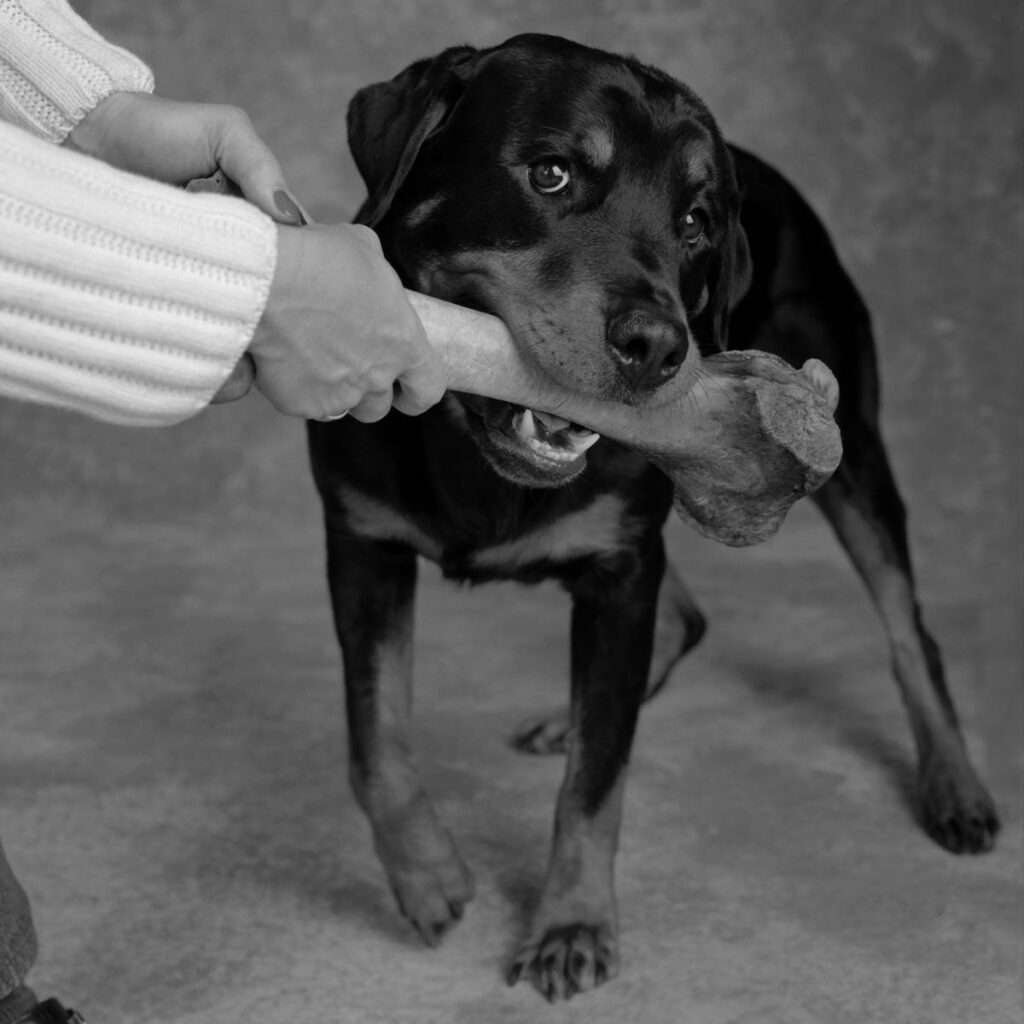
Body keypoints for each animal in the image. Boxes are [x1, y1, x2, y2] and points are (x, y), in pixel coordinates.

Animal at [305, 34, 999, 999]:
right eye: (550, 173)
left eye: (697, 221)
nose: (659, 345)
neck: (471, 445)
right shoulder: (362, 544)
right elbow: (376, 737)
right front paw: (426, 874)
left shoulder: (620, 570)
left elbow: (598, 781)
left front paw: (572, 923)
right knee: (683, 618)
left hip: (850, 446)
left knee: (906, 629)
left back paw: (954, 787)